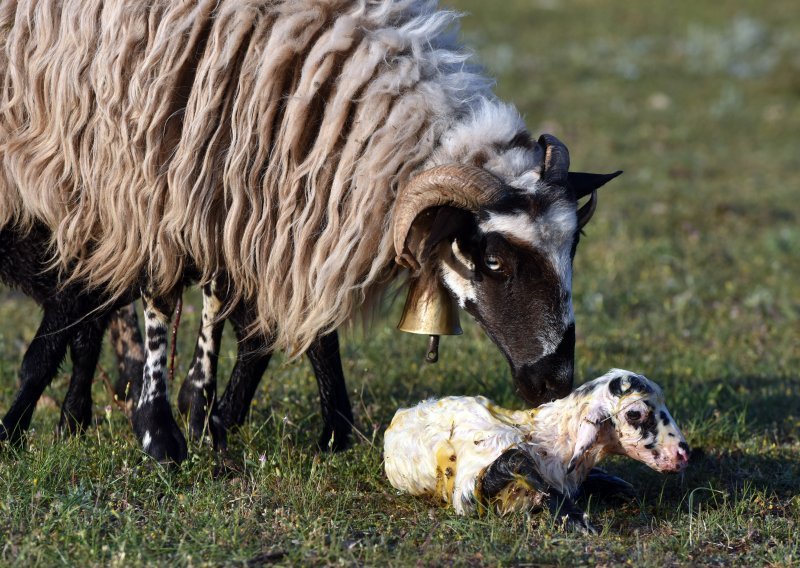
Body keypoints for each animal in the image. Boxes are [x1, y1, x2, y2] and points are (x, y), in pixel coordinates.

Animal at [0, 0, 620, 462]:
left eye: (574, 247)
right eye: (494, 261)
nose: (556, 382)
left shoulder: (240, 187)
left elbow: (285, 328)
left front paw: (263, 423)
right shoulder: (143, 180)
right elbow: (153, 300)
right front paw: (161, 434)